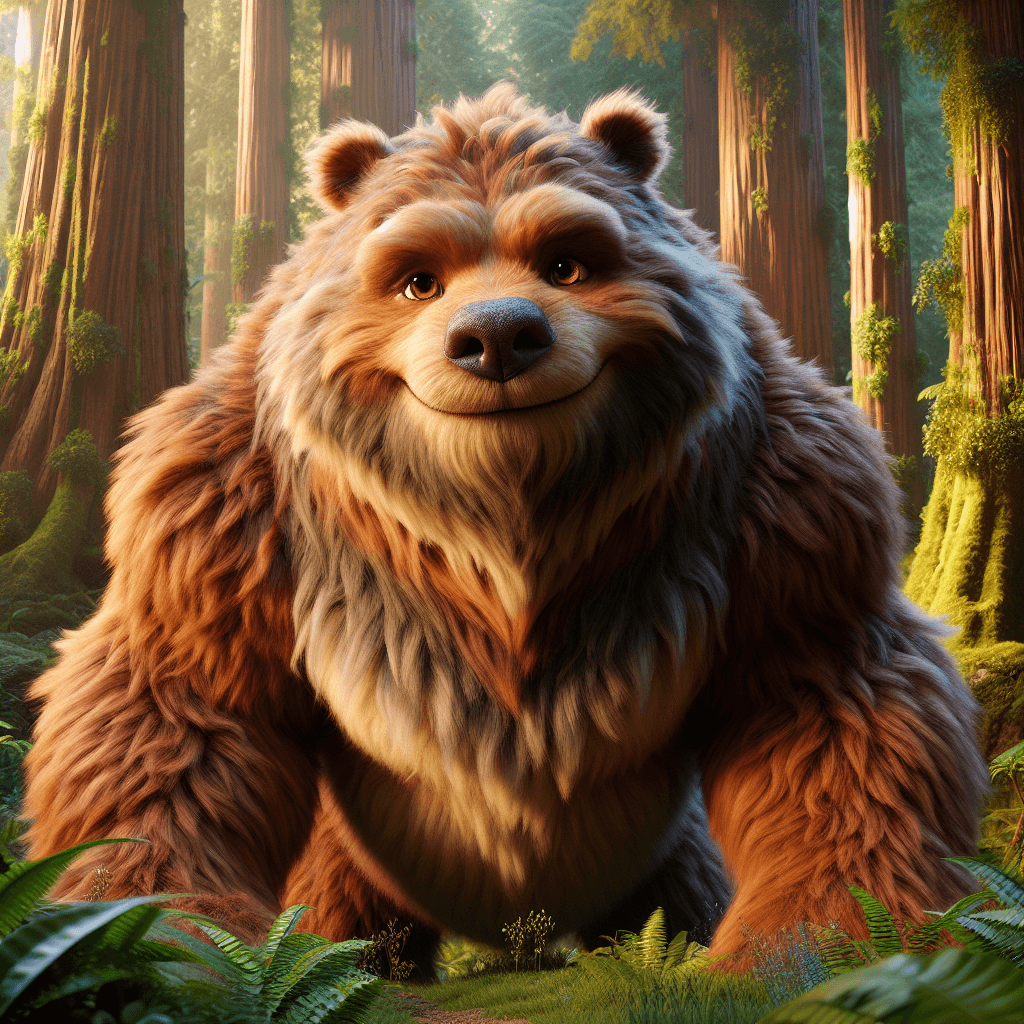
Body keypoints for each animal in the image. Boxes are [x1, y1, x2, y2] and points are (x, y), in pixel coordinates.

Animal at [23, 83, 989, 975]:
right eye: (418, 278)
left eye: (566, 262)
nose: (496, 337)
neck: (505, 527)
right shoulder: (220, 520)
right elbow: (182, 718)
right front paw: (161, 933)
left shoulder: (789, 518)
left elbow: (823, 710)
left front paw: (831, 937)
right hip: (350, 856)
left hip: (658, 858)